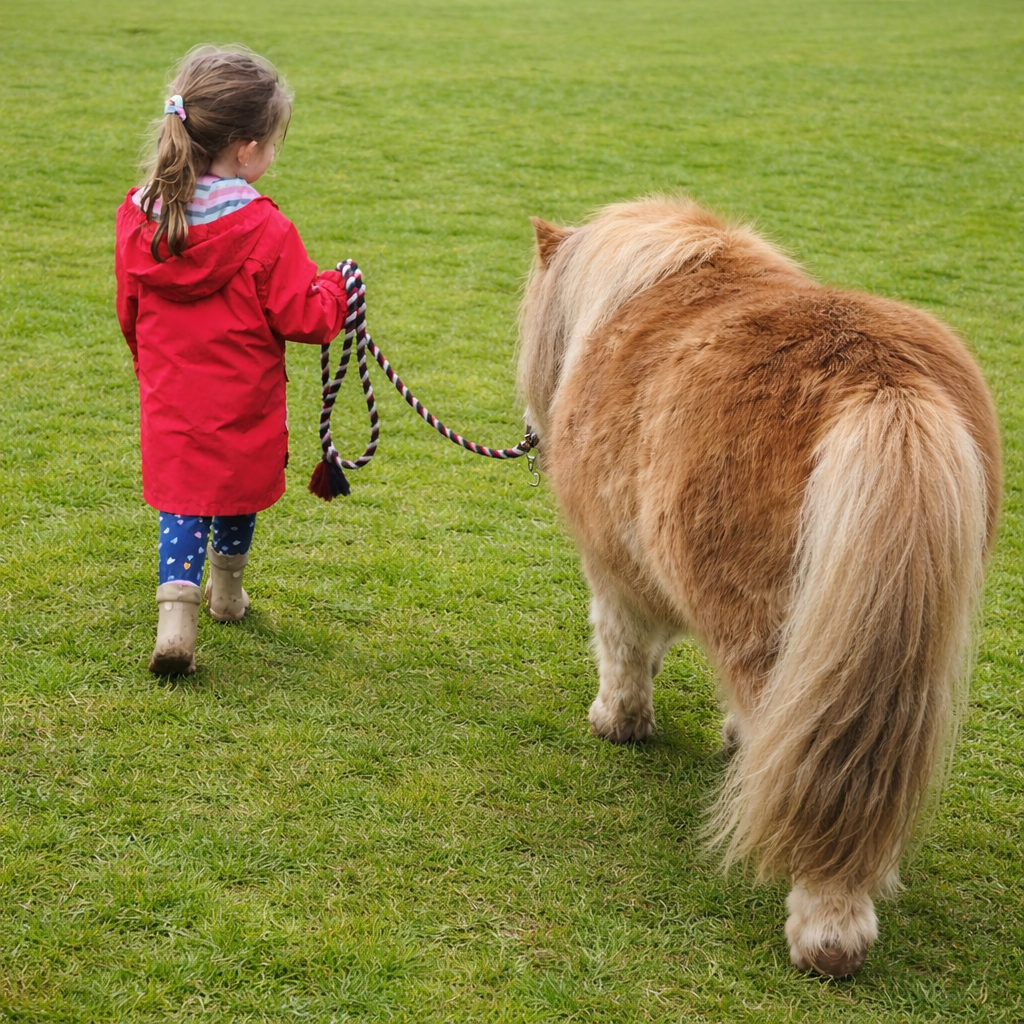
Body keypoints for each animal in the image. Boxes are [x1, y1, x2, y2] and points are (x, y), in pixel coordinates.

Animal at [517, 196, 1000, 977]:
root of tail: (883, 386)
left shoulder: (616, 570)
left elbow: (623, 647)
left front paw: (620, 723)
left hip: (761, 628)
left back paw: (828, 928)